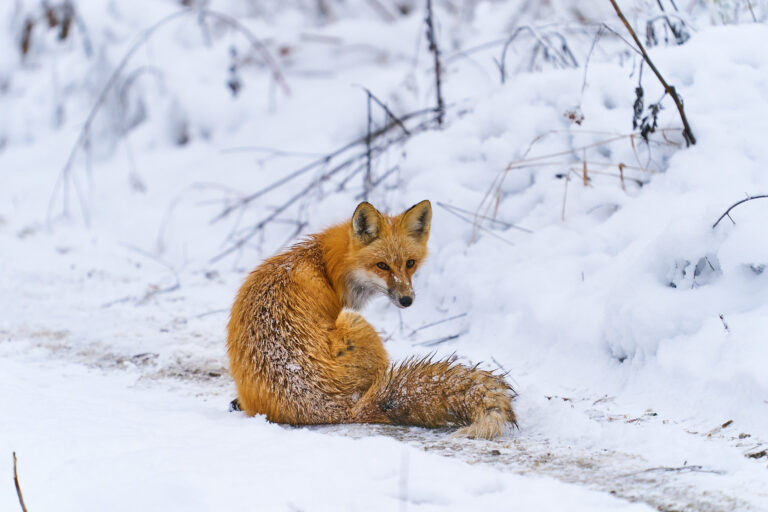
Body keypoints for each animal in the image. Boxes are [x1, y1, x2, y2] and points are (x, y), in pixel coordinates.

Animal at [226, 200, 516, 439]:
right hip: (357, 324)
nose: (407, 300)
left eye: (410, 263)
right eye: (382, 265)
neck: (324, 266)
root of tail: (338, 408)